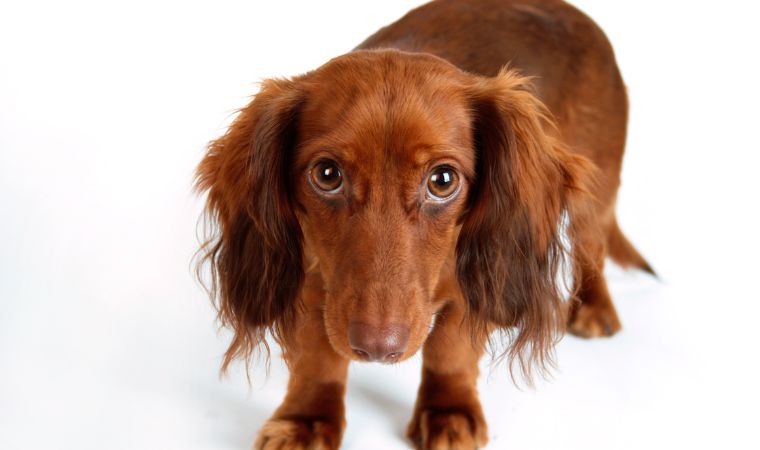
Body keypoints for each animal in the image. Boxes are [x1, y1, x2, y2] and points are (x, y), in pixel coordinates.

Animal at [196, 0, 652, 448]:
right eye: (327, 174)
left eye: (443, 180)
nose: (377, 349)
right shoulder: (311, 274)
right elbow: (317, 356)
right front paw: (307, 419)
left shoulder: (475, 270)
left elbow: (450, 348)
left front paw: (449, 411)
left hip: (596, 190)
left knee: (591, 245)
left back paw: (594, 305)